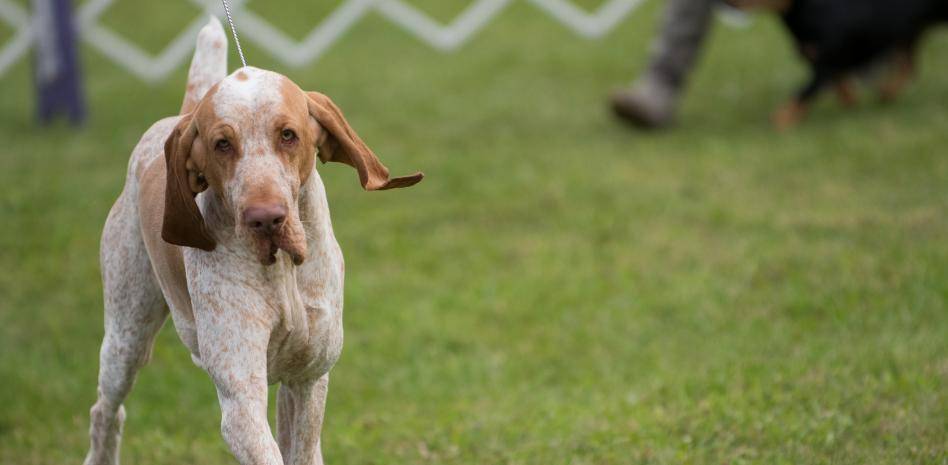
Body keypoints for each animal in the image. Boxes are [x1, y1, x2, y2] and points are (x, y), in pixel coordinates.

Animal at [83, 16, 424, 462]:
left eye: (288, 135)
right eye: (222, 144)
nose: (265, 219)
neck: (283, 274)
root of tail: (182, 114)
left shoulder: (308, 379)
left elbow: (302, 448)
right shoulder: (241, 397)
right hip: (126, 339)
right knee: (106, 410)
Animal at [728, 0, 944, 129]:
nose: (727, 2)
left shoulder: (826, 61)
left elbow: (802, 92)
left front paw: (781, 120)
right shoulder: (829, 60)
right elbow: (841, 83)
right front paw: (851, 102)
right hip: (906, 37)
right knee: (909, 68)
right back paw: (886, 94)